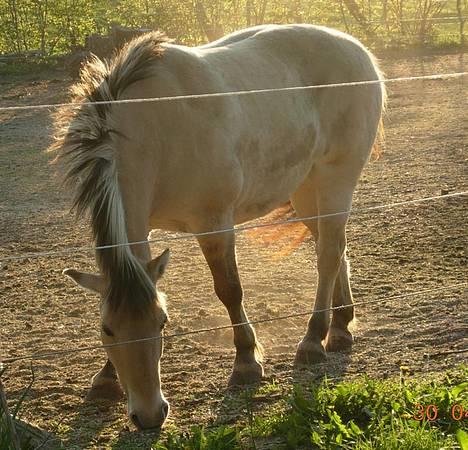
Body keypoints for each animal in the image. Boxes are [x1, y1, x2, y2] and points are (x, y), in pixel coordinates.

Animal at [53, 23, 386, 428]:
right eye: (107, 329)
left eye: (162, 323)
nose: (149, 415)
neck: (153, 129)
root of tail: (359, 51)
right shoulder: (142, 231)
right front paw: (106, 377)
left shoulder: (214, 225)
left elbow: (229, 290)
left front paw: (246, 362)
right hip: (307, 192)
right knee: (337, 249)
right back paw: (340, 328)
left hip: (336, 180)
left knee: (327, 257)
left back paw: (313, 338)